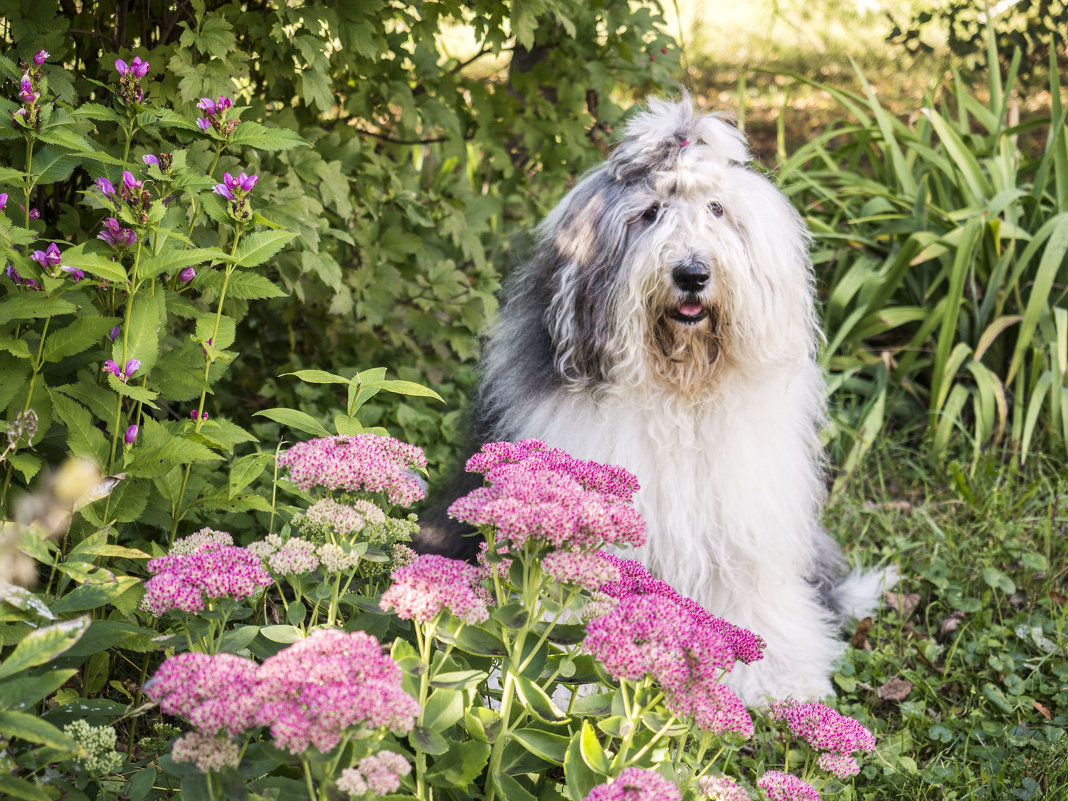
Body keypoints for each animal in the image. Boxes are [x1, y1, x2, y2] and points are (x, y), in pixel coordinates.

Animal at [425, 97, 884, 704]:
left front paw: (774, 680)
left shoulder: (739, 526)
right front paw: (568, 683)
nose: (692, 274)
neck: (679, 389)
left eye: (716, 209)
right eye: (649, 213)